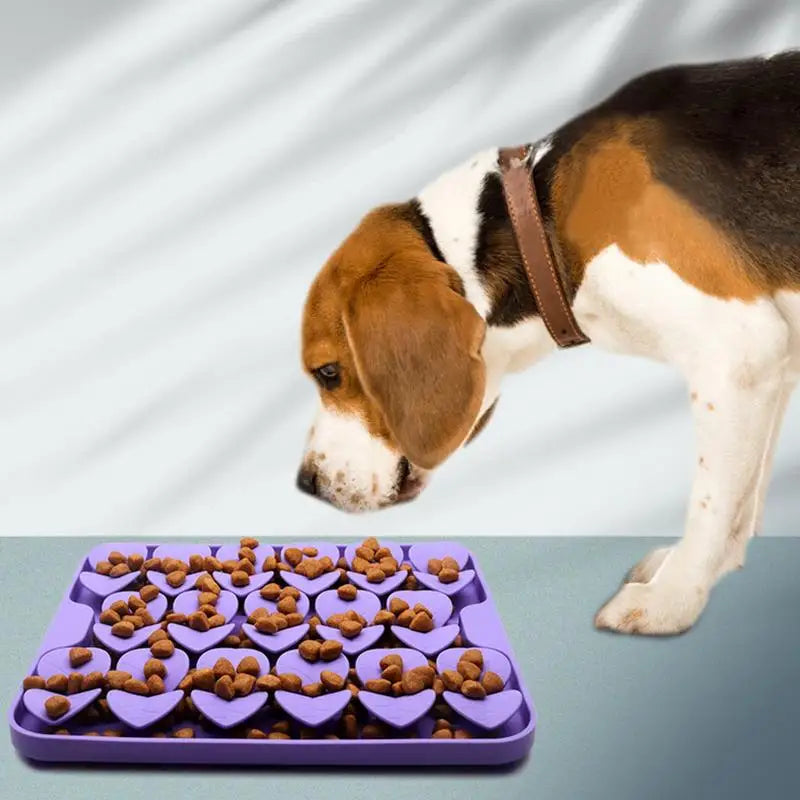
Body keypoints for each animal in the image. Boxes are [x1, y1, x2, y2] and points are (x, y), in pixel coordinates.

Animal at [296, 53, 796, 636]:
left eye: (329, 373)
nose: (305, 484)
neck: (542, 212)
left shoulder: (738, 352)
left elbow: (713, 502)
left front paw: (671, 598)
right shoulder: (774, 365)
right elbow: (744, 497)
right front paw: (706, 569)